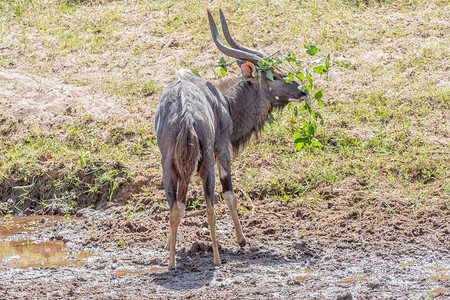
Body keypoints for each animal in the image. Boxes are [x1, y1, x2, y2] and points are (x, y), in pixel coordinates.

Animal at [154, 8, 306, 270]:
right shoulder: (222, 148)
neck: (224, 101)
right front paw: (242, 240)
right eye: (275, 76)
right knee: (211, 205)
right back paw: (216, 259)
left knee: (175, 207)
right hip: (207, 163)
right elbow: (229, 194)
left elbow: (179, 205)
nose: (302, 91)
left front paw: (169, 245)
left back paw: (172, 264)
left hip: (169, 165)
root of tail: (186, 117)